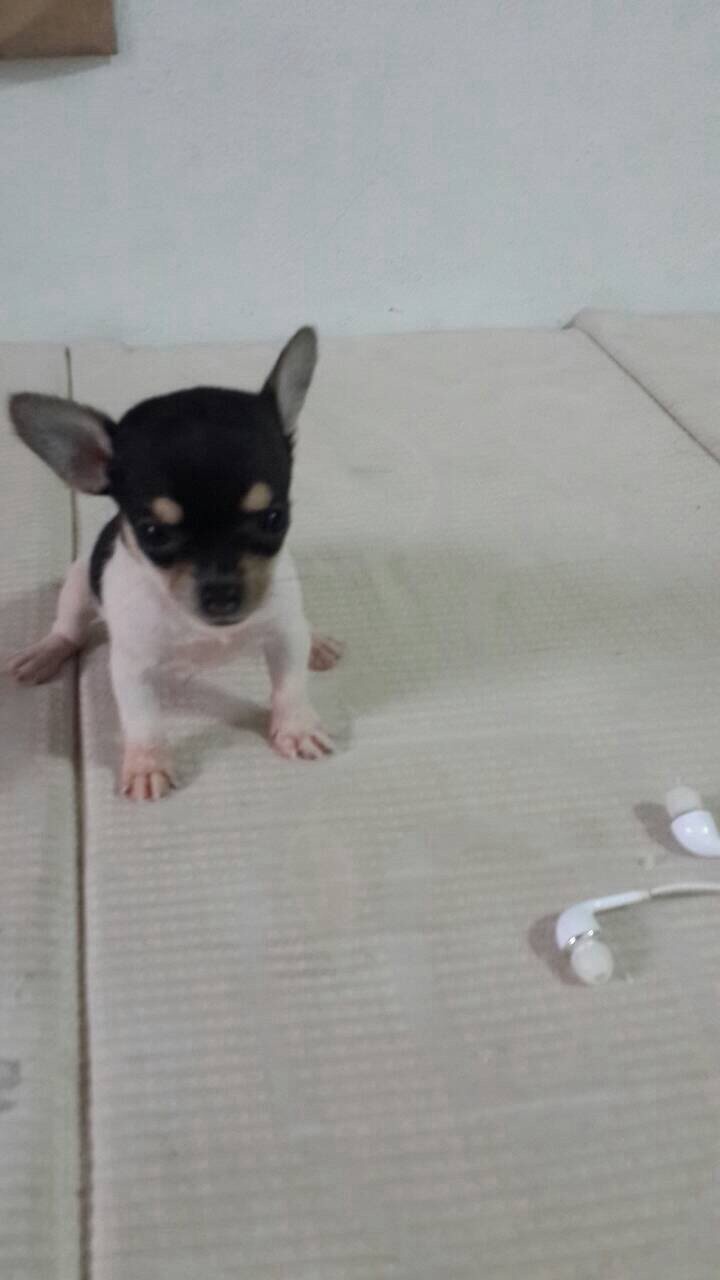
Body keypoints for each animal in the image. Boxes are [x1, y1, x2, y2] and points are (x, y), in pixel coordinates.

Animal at [7, 327, 342, 800]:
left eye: (274, 519)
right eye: (153, 533)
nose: (222, 593)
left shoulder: (283, 634)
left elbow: (290, 686)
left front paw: (295, 727)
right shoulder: (132, 670)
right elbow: (143, 721)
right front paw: (147, 763)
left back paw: (320, 642)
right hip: (77, 585)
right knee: (68, 629)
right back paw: (46, 651)